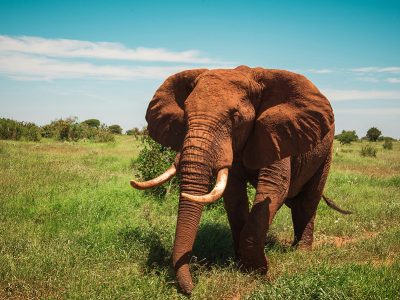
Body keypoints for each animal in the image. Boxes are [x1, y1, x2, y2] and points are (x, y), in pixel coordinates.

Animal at [130, 66, 350, 296]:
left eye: (235, 117)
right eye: (185, 114)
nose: (191, 290)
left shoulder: (277, 133)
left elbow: (275, 189)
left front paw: (260, 270)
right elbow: (234, 196)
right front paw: (241, 265)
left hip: (326, 152)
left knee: (308, 201)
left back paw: (301, 252)